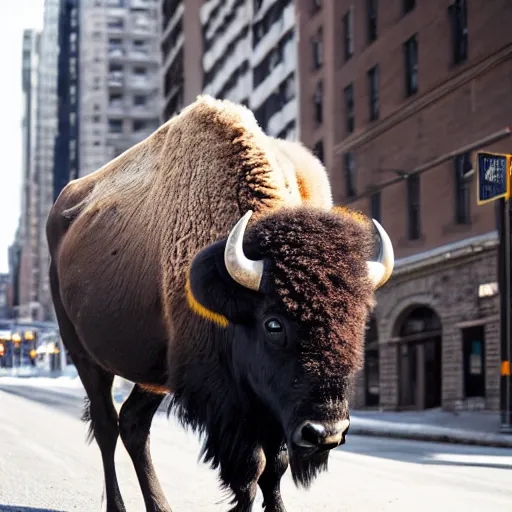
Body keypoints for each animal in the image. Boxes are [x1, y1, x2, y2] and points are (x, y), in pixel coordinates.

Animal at [47, 96, 392, 512]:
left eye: (357, 323)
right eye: (273, 324)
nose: (325, 432)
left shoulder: (272, 406)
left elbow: (274, 469)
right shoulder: (227, 400)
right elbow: (250, 472)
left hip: (154, 372)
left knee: (132, 424)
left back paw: (160, 507)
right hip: (84, 353)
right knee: (106, 424)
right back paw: (119, 506)